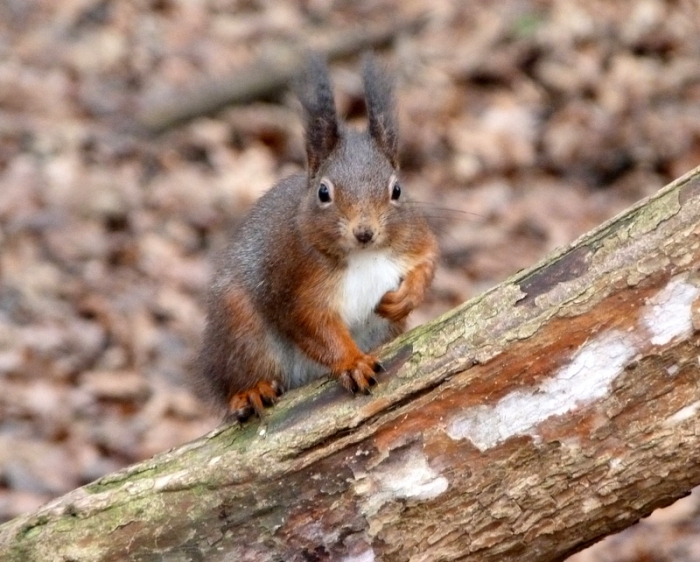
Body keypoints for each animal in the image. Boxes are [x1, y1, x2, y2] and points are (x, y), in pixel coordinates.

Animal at [197, 55, 438, 422]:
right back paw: (250, 392)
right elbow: (315, 326)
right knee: (237, 375)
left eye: (397, 190)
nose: (364, 232)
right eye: (324, 192)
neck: (363, 256)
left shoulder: (413, 239)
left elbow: (428, 260)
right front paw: (353, 363)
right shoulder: (295, 284)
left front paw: (406, 298)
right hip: (239, 327)